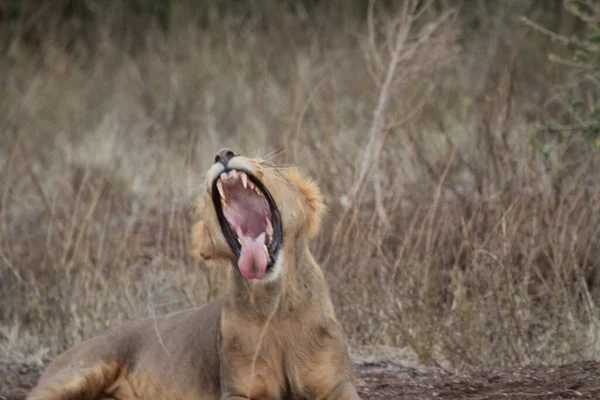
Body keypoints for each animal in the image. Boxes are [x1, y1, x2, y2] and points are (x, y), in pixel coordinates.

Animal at [28, 149, 360, 400]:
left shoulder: (338, 385)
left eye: (266, 164)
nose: (224, 153)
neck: (274, 306)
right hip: (81, 371)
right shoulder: (237, 390)